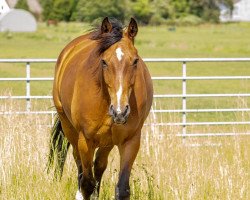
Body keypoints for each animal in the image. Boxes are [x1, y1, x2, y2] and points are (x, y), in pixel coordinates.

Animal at [47, 17, 152, 200]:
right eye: (104, 61)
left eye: (135, 61)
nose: (120, 112)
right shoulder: (85, 140)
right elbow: (87, 183)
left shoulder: (131, 141)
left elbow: (122, 188)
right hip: (71, 130)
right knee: (80, 164)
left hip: (106, 142)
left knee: (99, 165)